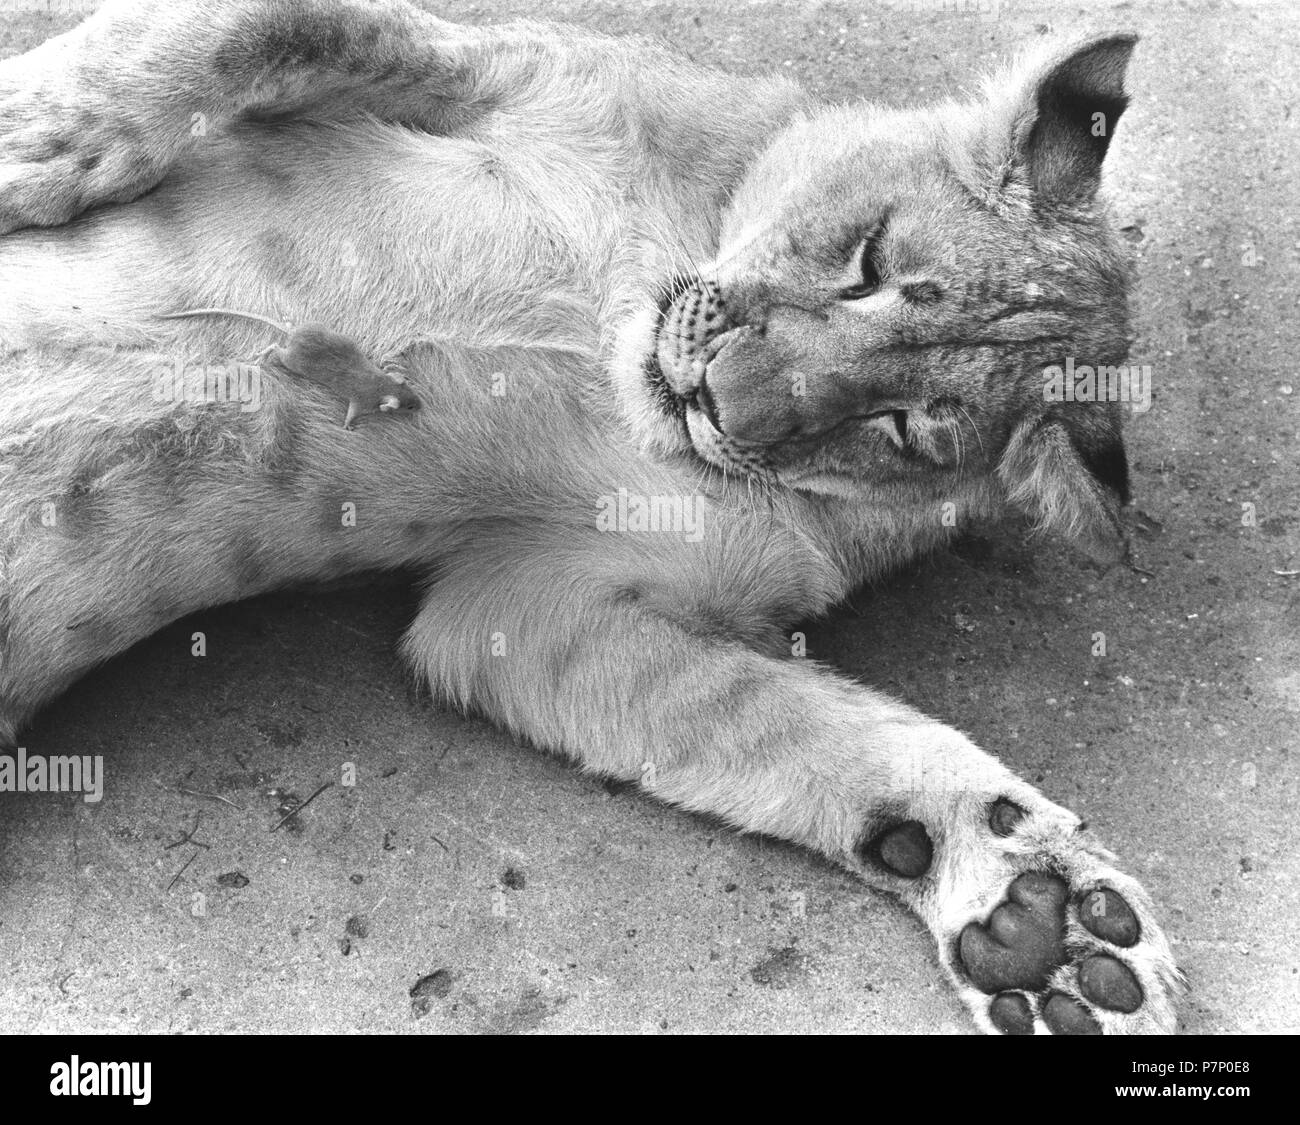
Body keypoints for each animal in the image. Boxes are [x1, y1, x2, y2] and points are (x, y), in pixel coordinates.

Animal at [0, 0, 1180, 1035]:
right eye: (871, 262)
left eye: (905, 428)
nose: (717, 396)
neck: (618, 325)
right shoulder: (514, 66)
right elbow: (258, 25)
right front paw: (32, 137)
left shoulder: (530, 608)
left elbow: (824, 734)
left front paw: (1034, 924)